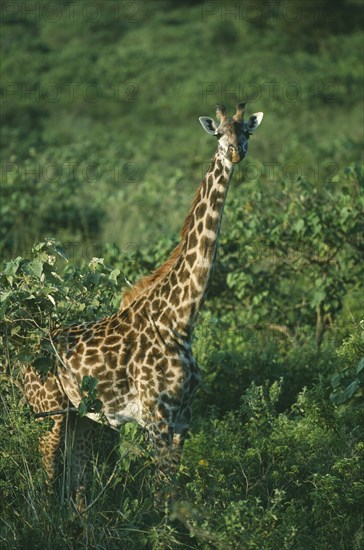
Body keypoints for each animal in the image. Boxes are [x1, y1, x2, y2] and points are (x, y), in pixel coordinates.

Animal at [22, 102, 264, 504]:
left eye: (246, 130)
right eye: (218, 133)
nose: (235, 152)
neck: (181, 318)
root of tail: (24, 354)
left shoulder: (183, 417)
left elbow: (171, 492)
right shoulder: (157, 417)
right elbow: (161, 494)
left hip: (81, 417)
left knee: (77, 479)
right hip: (48, 411)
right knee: (46, 470)